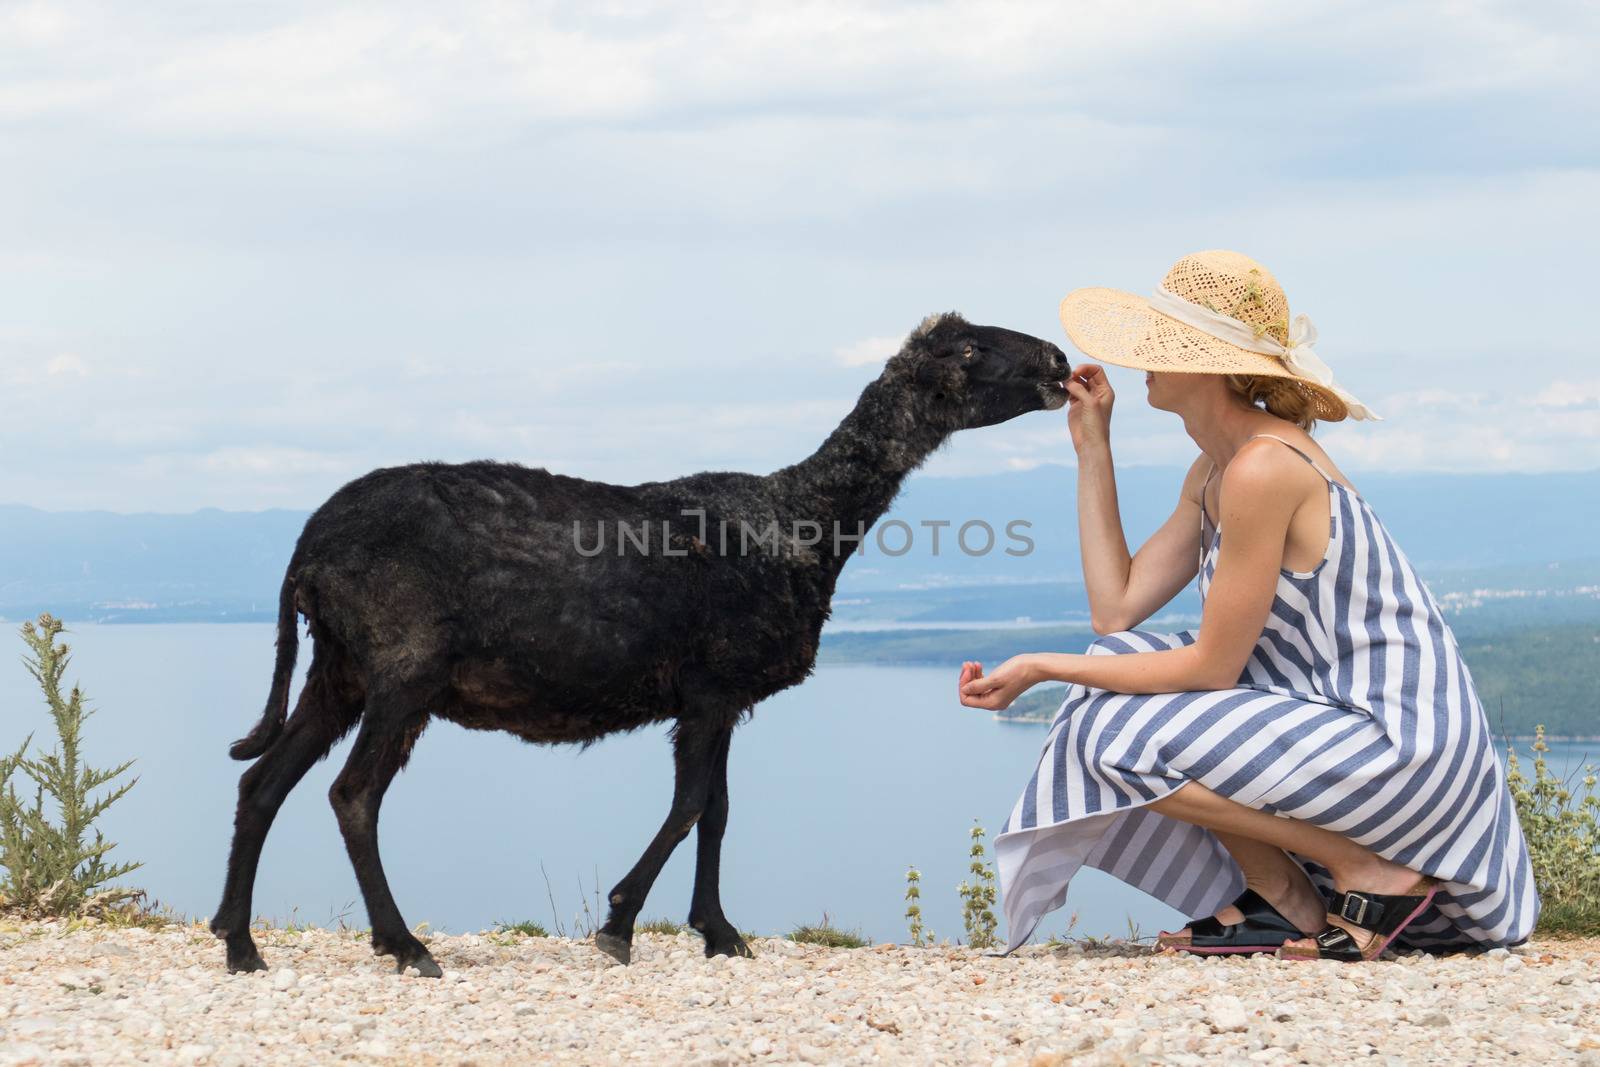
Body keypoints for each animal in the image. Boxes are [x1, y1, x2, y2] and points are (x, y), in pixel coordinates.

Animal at [209, 310, 1062, 979]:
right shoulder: (711, 688)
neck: (802, 522)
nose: (1057, 361)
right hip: (402, 666)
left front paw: (719, 932)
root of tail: (308, 550)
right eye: (968, 349)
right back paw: (404, 944)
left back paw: (240, 943)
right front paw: (619, 923)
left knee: (263, 783)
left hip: (339, 669)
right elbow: (688, 806)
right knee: (352, 794)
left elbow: (718, 809)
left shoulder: (722, 696)